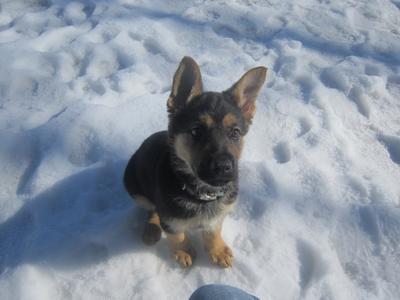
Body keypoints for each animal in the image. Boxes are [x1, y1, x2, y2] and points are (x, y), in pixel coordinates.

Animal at [123, 57, 268, 268]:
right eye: (196, 131)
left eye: (235, 133)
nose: (224, 168)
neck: (202, 194)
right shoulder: (170, 218)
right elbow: (176, 233)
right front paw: (183, 250)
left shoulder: (219, 214)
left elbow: (213, 229)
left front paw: (216, 249)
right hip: (134, 188)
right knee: (151, 209)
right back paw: (151, 229)